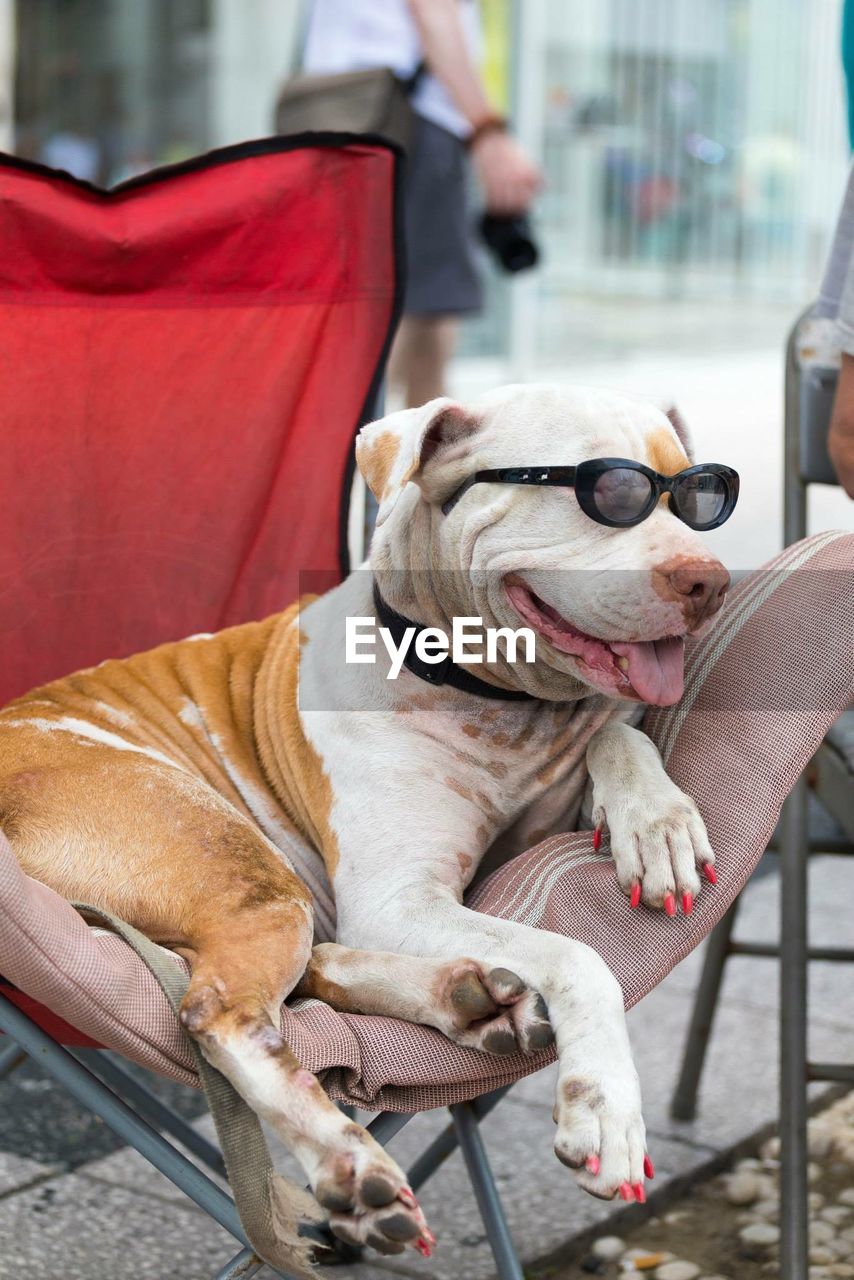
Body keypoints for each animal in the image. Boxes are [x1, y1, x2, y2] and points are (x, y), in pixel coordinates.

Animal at [1, 381, 737, 1259]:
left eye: (698, 499)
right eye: (612, 494)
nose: (709, 582)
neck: (498, 704)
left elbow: (619, 735)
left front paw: (657, 823)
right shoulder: (397, 900)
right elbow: (578, 954)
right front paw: (605, 1107)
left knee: (308, 969)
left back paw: (465, 997)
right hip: (236, 866)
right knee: (225, 1010)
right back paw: (350, 1165)